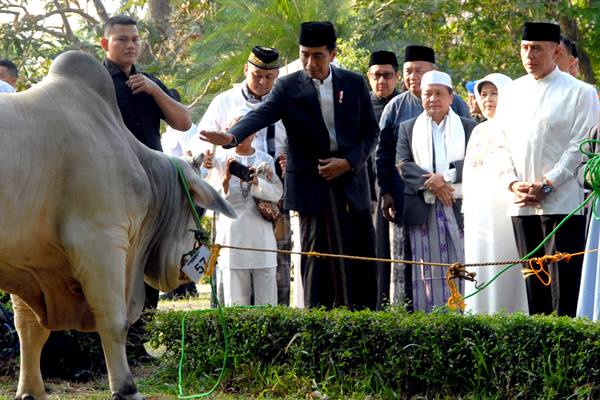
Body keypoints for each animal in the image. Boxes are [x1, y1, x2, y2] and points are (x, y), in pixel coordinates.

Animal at [0, 50, 234, 400]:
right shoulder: (101, 240)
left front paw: (30, 391)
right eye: (200, 210)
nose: (193, 266)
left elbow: (30, 329)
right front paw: (126, 388)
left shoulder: (28, 256)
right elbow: (113, 321)